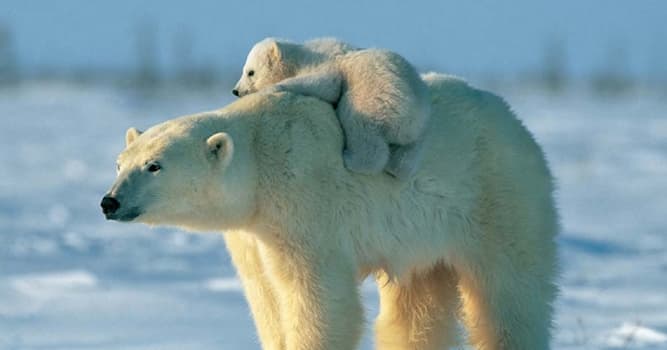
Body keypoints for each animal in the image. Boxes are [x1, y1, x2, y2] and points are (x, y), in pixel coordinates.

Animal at [103, 72, 560, 348]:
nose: (110, 202)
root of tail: (515, 121)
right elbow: (265, 296)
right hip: (422, 238)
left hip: (498, 196)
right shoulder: (252, 233)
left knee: (510, 291)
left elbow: (317, 296)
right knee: (418, 305)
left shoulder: (303, 203)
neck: (260, 158)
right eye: (120, 162)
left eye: (155, 165)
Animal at [235, 38, 430, 179]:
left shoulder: (324, 63)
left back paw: (351, 158)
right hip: (418, 129)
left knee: (359, 124)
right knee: (408, 155)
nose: (235, 91)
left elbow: (327, 83)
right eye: (244, 70)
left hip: (374, 99)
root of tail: (410, 119)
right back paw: (397, 167)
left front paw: (274, 87)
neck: (301, 57)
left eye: (250, 72)